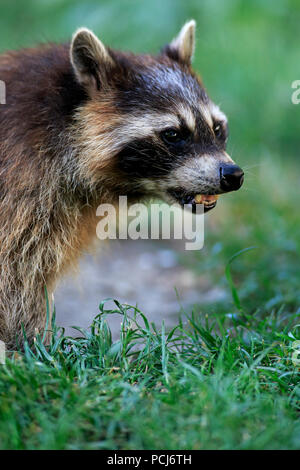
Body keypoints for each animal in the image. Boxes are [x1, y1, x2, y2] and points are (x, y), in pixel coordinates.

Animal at [0, 20, 244, 346]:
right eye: (173, 134)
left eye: (217, 128)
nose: (232, 174)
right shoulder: (21, 182)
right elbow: (16, 274)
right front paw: (28, 341)